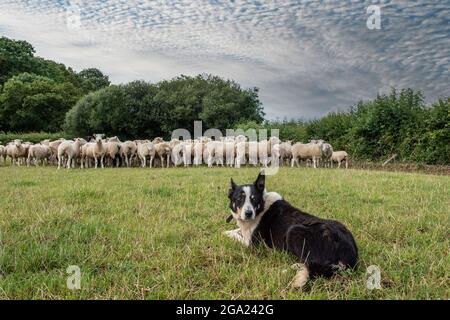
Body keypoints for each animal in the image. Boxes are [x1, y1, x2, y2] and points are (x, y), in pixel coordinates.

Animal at [225, 171, 358, 288]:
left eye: (254, 199)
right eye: (239, 199)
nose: (248, 214)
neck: (261, 208)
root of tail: (348, 254)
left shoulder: (251, 244)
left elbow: (235, 235)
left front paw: (227, 233)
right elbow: (236, 230)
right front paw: (229, 230)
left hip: (294, 231)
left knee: (312, 268)